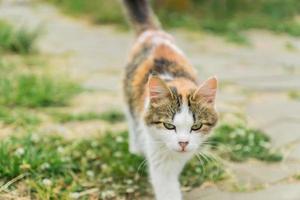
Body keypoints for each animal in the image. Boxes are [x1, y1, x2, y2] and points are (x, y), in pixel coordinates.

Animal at [122, 0, 218, 199]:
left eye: (196, 126)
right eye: (168, 125)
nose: (183, 143)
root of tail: (152, 32)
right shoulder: (157, 151)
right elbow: (166, 186)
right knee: (130, 118)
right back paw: (135, 148)